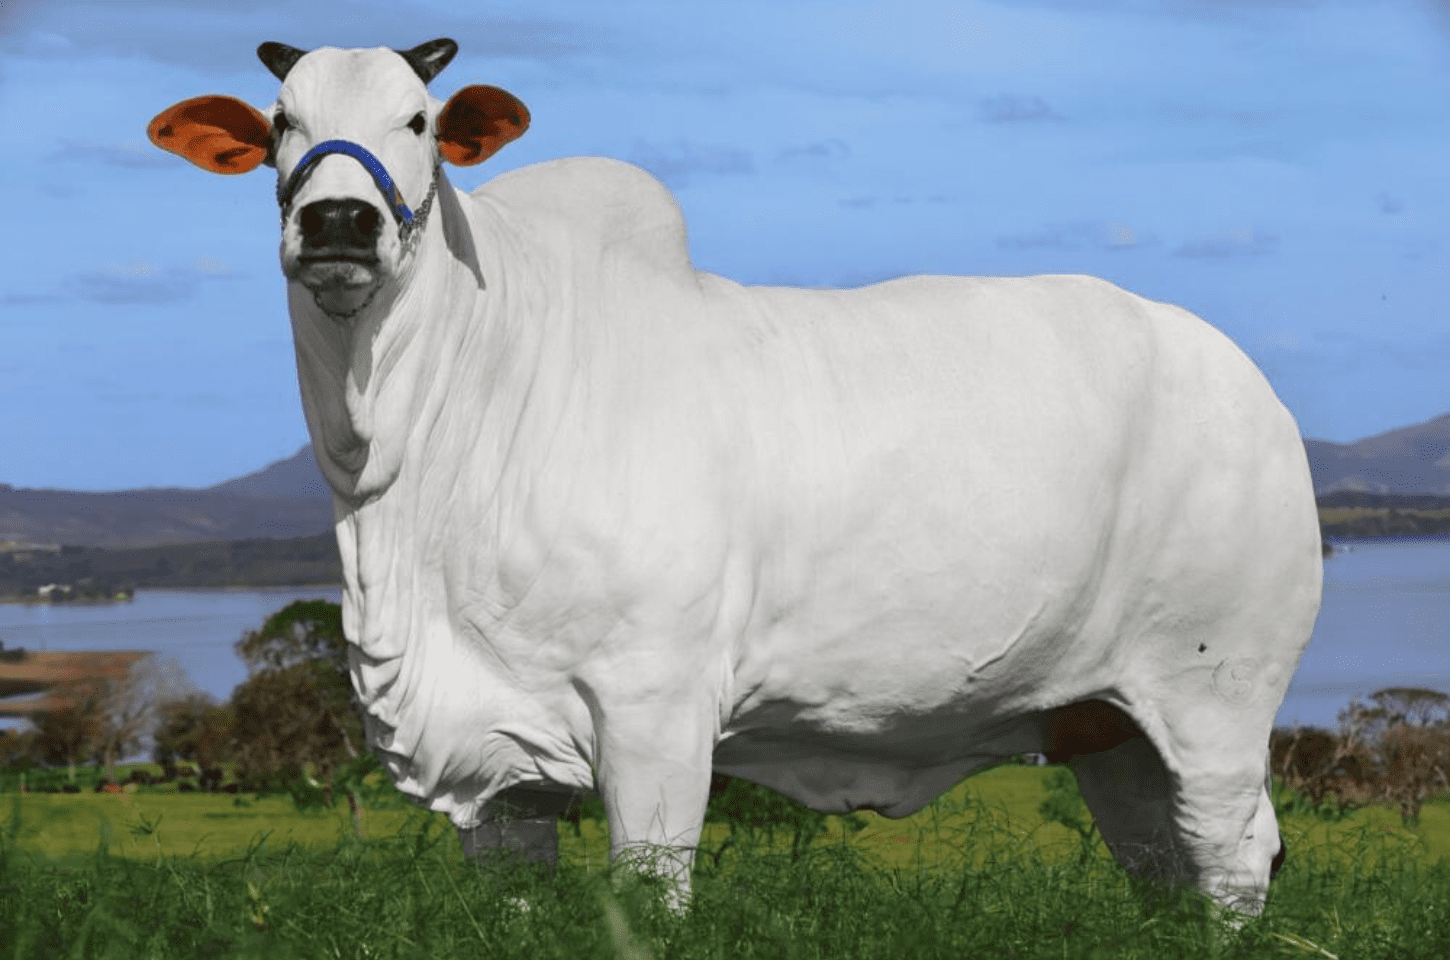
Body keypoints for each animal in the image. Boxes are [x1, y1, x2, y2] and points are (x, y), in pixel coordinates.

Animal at [148, 39, 1322, 916]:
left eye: (420, 122)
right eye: (280, 124)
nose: (339, 221)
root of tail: (1241, 380)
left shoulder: (654, 710)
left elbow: (652, 896)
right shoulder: (499, 764)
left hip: (1217, 698)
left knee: (1229, 865)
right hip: (1109, 728)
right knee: (1162, 868)